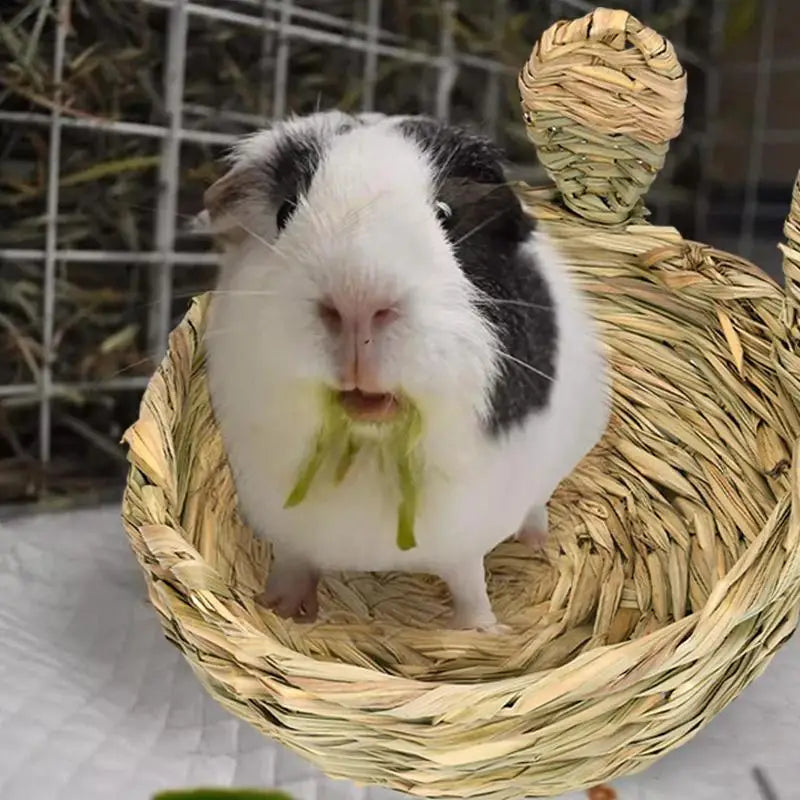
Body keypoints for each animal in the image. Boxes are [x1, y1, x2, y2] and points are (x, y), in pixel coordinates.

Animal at [199, 110, 610, 632]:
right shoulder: (285, 525)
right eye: (285, 211)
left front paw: (484, 631)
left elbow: (469, 585)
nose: (357, 301)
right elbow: (293, 563)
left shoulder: (466, 538)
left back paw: (535, 541)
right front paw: (279, 608)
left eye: (446, 214)